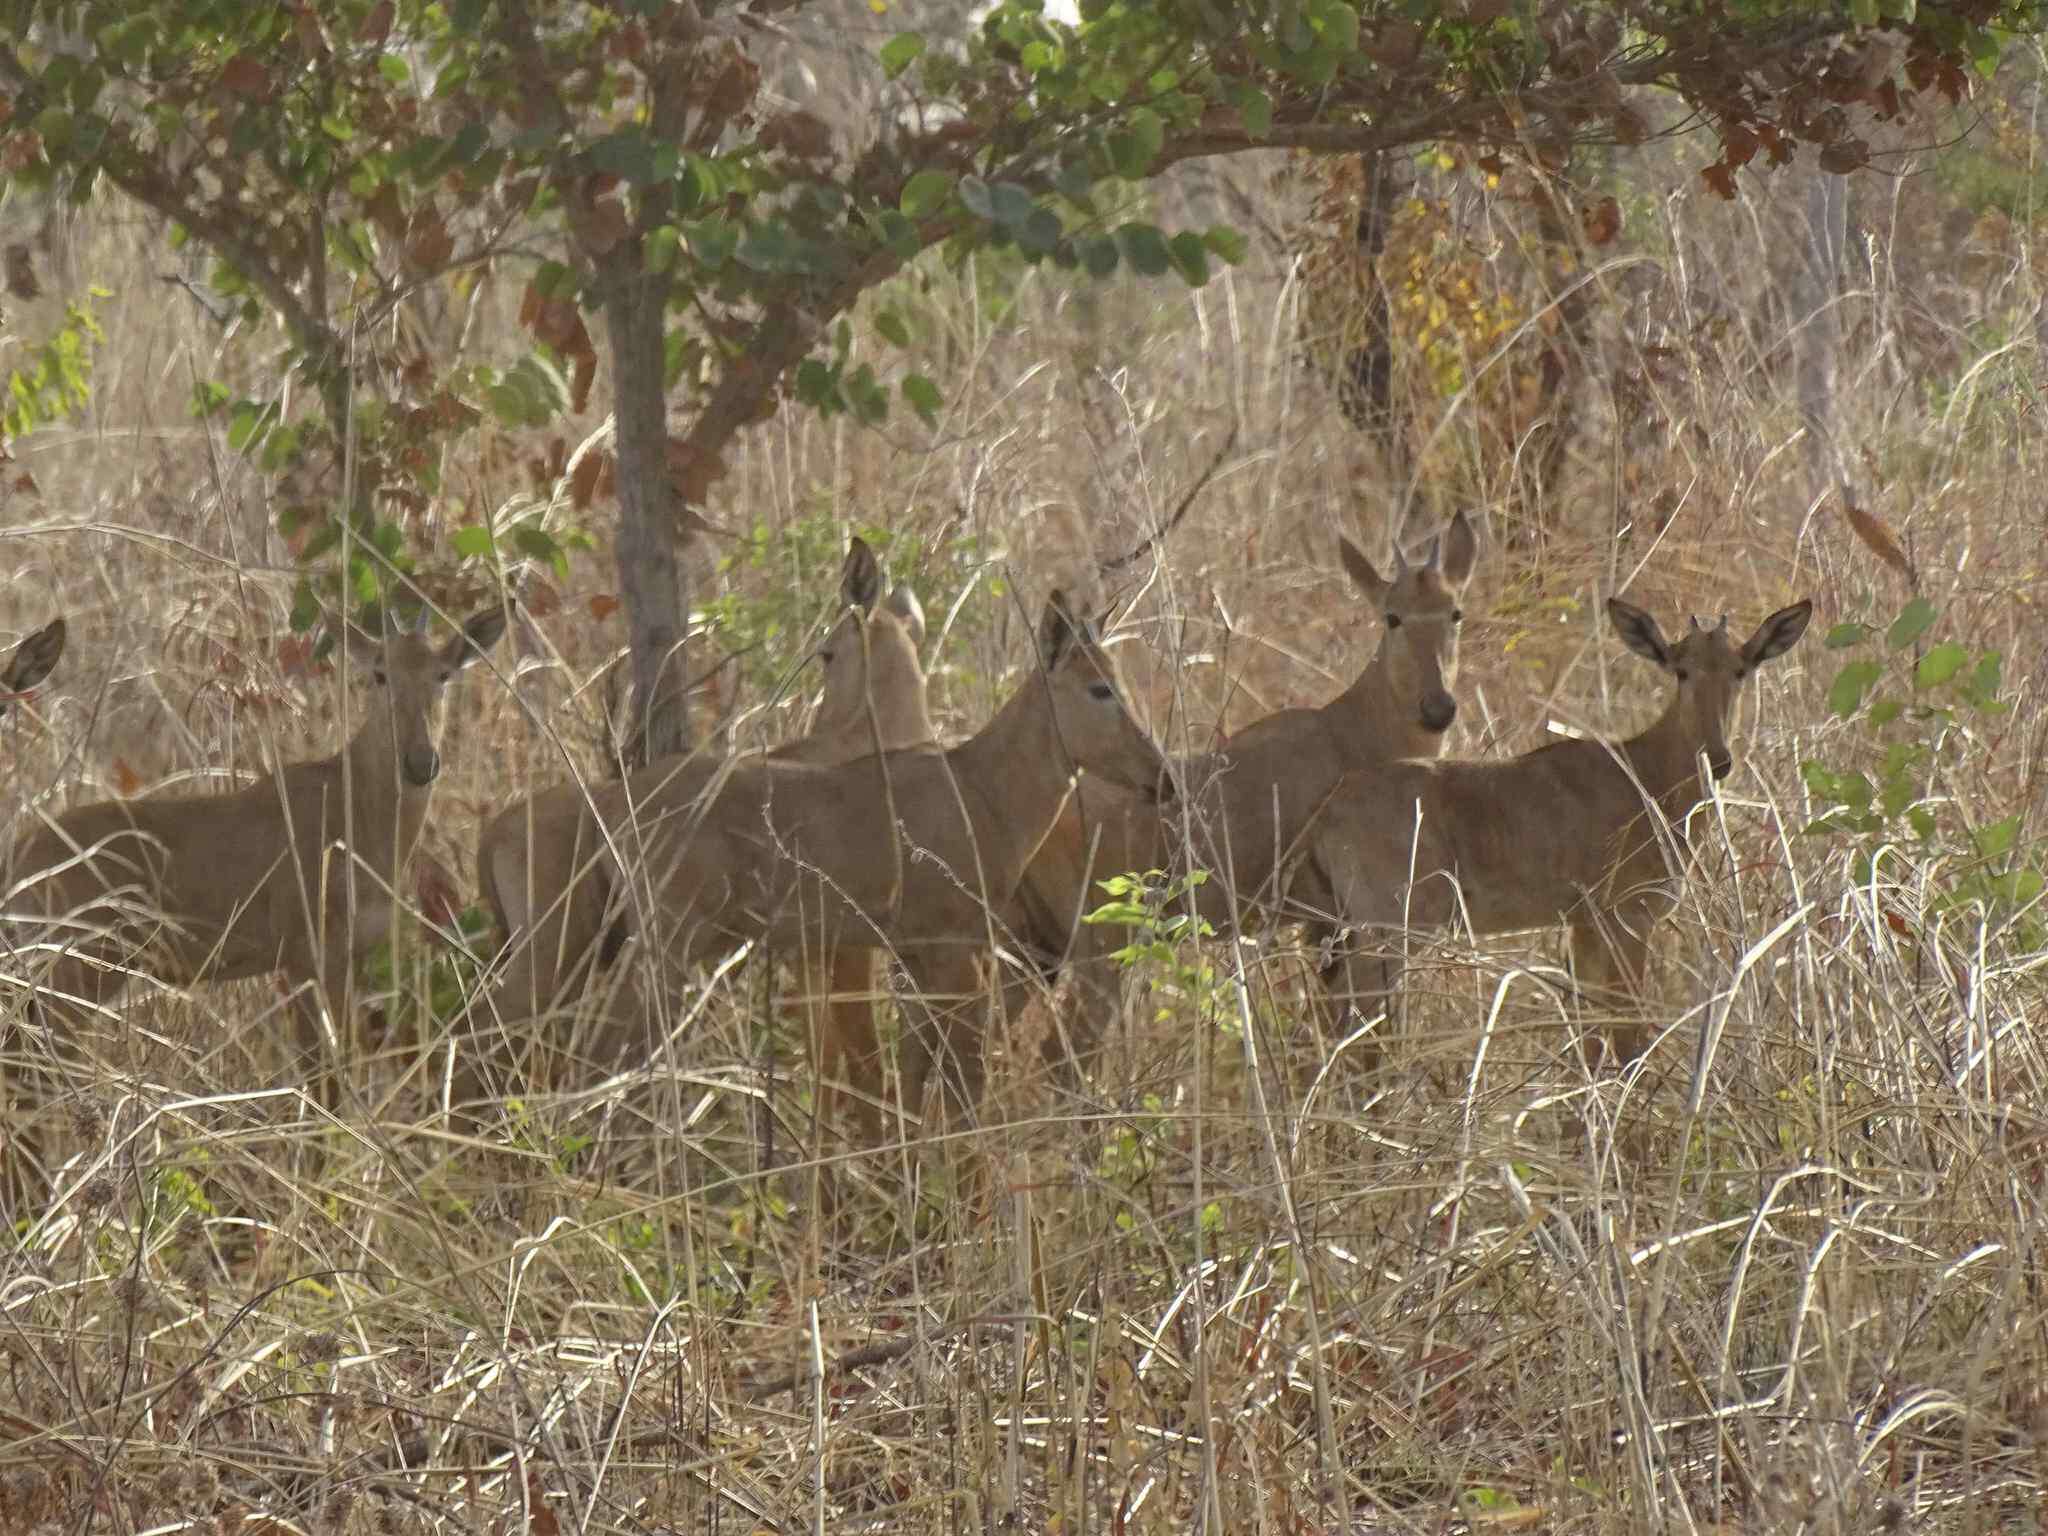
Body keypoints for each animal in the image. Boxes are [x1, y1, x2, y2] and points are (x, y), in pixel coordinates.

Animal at [8, 606, 503, 1081]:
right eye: (380, 673)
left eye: (443, 673)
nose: (420, 763)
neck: (353, 800)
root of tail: (19, 855)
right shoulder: (306, 960)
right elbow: (324, 1075)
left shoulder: (353, 959)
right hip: (76, 974)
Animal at [589, 589, 1171, 1146]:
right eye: (1099, 687)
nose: (1160, 776)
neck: (980, 789)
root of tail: (615, 803)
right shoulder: (953, 950)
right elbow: (961, 1081)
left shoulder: (912, 955)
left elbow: (911, 1074)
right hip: (667, 942)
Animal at [892, 512, 1474, 1114]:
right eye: (1392, 616)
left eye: (1455, 611)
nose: (1438, 708)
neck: (1351, 733)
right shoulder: (1346, 920)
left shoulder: (1322, 926)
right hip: (1094, 950)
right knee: (1052, 1056)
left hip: (1026, 947)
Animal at [1294, 602, 1810, 1073]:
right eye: (1680, 670)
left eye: (1741, 669)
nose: (1719, 759)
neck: (1644, 773)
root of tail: (1326, 813)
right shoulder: (1627, 918)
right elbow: (1627, 1036)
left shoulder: (1582, 925)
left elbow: (1591, 1037)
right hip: (1391, 929)